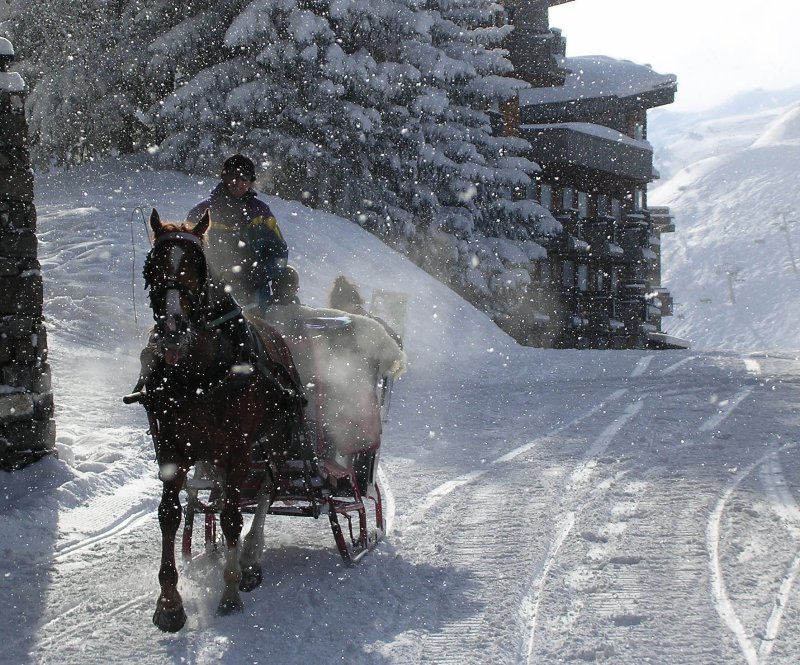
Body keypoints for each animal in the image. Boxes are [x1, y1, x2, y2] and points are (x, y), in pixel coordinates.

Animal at [132, 208, 303, 632]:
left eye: (197, 264)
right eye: (151, 266)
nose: (173, 328)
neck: (196, 375)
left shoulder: (239, 449)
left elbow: (231, 518)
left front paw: (230, 591)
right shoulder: (170, 450)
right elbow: (170, 515)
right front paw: (169, 604)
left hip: (272, 445)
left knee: (263, 494)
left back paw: (250, 560)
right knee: (223, 496)